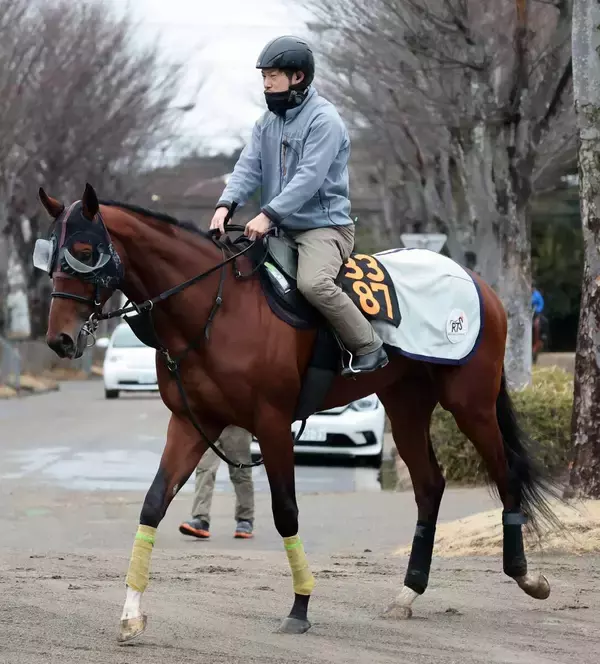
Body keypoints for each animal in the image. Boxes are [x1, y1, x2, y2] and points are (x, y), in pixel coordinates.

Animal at [34, 183, 560, 644]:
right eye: (50, 254)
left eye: (85, 248)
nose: (60, 338)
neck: (216, 308)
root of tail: (478, 283)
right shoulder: (190, 423)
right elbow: (153, 504)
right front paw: (131, 614)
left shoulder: (272, 423)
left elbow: (286, 512)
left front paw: (300, 606)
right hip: (406, 403)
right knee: (429, 485)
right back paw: (408, 592)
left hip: (470, 402)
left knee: (505, 472)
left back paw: (525, 576)